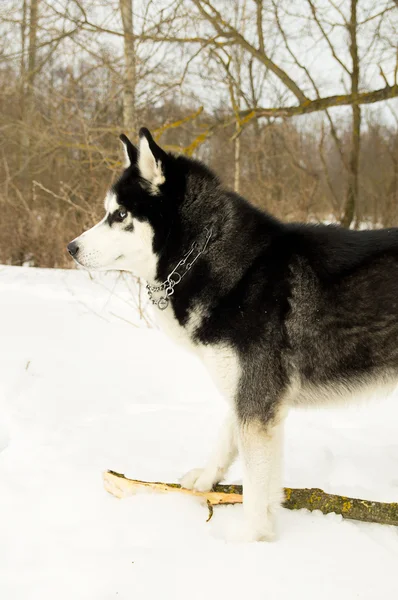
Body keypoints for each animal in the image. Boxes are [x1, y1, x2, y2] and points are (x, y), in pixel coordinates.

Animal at [67, 129, 398, 540]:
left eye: (120, 215)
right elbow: (226, 438)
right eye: (107, 212)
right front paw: (206, 480)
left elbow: (255, 486)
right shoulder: (245, 388)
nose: (71, 248)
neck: (206, 252)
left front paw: (251, 541)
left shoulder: (256, 400)